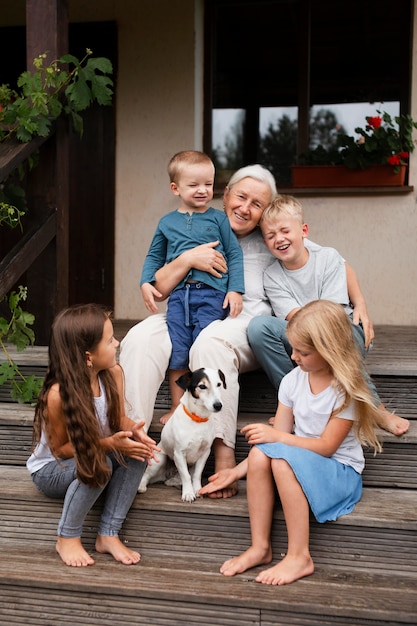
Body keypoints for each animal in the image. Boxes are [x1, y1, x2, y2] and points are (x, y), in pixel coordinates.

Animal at [138, 368, 226, 500]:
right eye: (202, 386)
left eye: (219, 384)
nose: (218, 405)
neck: (198, 419)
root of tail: (167, 475)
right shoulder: (179, 453)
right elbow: (186, 476)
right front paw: (188, 493)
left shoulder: (204, 453)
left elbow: (196, 475)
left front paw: (197, 490)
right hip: (159, 460)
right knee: (146, 475)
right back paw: (141, 486)